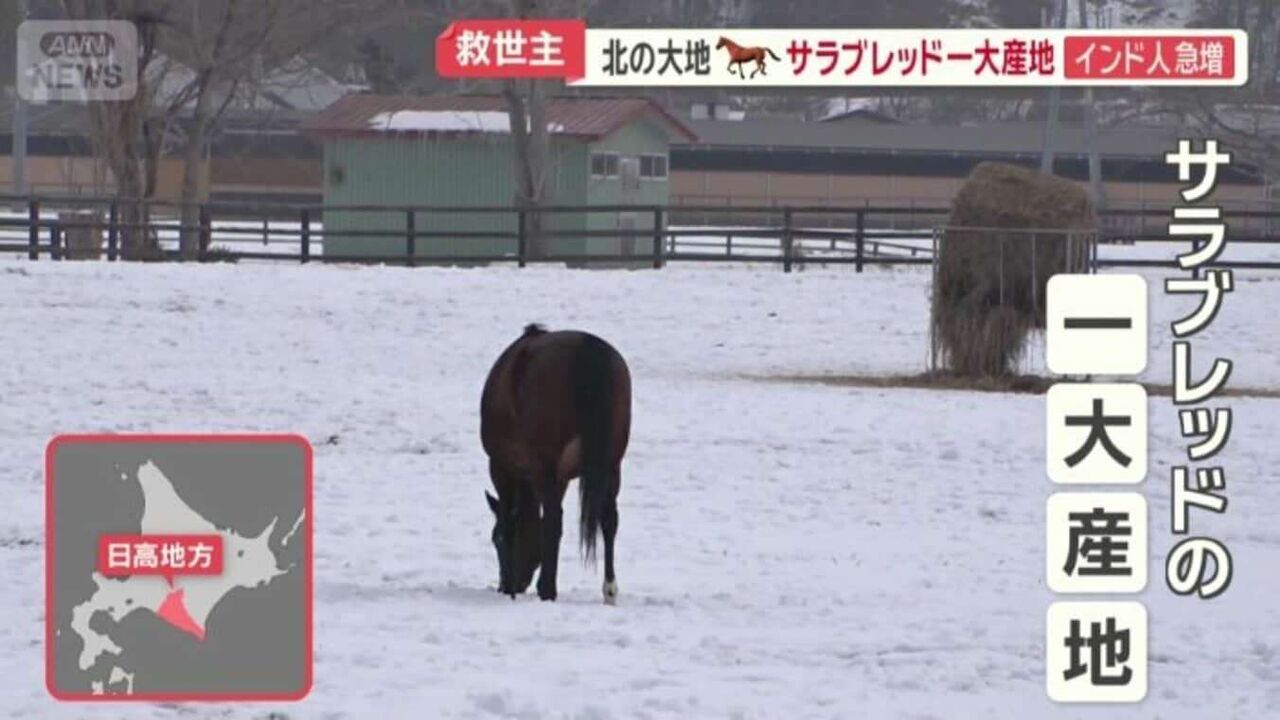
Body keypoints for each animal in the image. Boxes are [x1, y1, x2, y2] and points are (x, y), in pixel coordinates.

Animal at [480, 324, 632, 604]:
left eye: (494, 540)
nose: (512, 584)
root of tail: (588, 349)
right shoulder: (561, 478)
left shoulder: (501, 467)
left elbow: (510, 522)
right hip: (612, 465)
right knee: (608, 519)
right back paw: (609, 590)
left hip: (545, 468)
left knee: (553, 519)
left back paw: (547, 590)